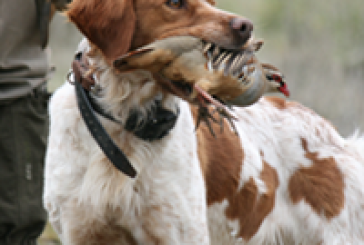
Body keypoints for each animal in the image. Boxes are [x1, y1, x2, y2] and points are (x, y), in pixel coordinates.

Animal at [44, 0, 364, 243]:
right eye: (174, 2)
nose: (246, 27)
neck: (125, 124)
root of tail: (338, 139)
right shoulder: (81, 231)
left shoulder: (181, 234)